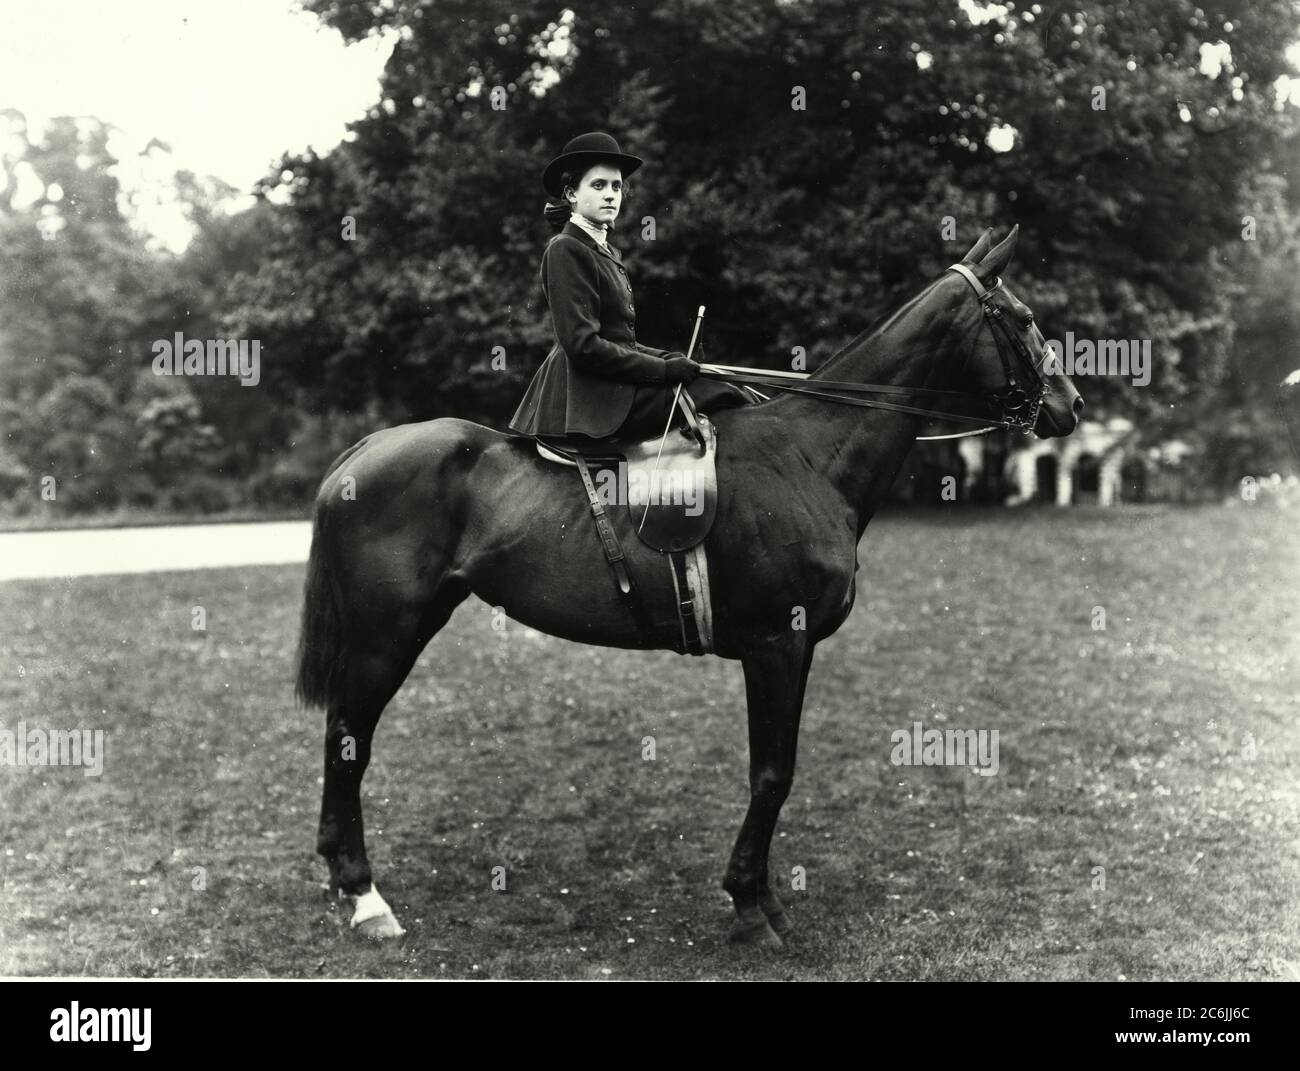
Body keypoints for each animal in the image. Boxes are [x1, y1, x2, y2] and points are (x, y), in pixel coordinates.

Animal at [299, 227, 1081, 946]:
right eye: (1022, 317)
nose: (1070, 405)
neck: (808, 454)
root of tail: (366, 448)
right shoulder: (776, 645)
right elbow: (772, 773)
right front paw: (750, 905)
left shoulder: (791, 649)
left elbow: (775, 768)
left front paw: (762, 897)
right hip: (385, 634)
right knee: (348, 737)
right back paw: (365, 895)